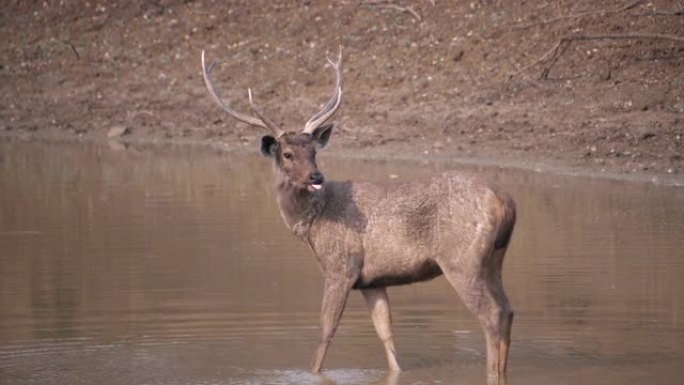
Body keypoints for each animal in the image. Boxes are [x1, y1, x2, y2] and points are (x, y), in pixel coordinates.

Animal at [200, 48, 516, 378]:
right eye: (288, 154)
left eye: (313, 151)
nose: (316, 176)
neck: (312, 225)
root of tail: (504, 202)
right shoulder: (372, 281)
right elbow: (386, 333)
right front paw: (396, 372)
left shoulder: (341, 265)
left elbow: (326, 330)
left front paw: (312, 374)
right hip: (494, 259)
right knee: (507, 310)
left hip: (461, 259)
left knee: (492, 314)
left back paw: (493, 373)